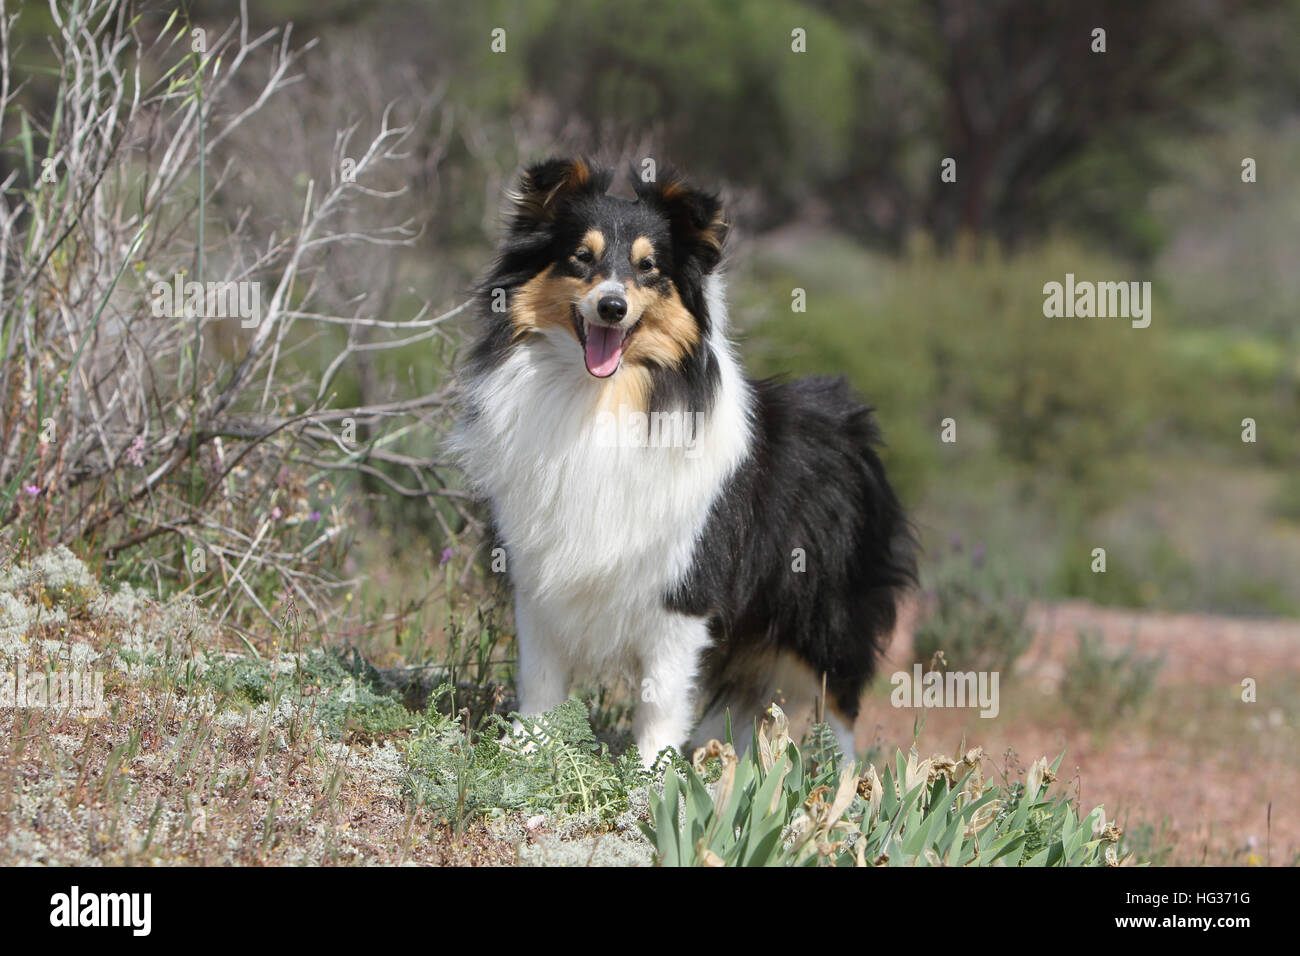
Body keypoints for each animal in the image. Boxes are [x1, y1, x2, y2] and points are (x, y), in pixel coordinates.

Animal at [454, 158, 915, 770]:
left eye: (649, 268)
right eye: (581, 257)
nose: (612, 307)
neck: (601, 398)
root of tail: (850, 421)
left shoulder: (684, 590)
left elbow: (660, 697)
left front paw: (653, 775)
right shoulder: (538, 576)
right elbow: (542, 678)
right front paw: (527, 752)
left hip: (825, 616)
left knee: (838, 712)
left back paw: (838, 785)